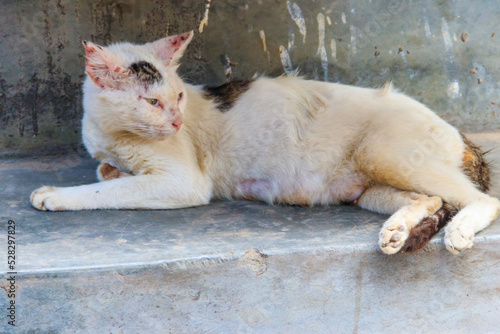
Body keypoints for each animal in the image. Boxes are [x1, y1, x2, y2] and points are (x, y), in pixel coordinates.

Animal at [32, 32, 500, 256]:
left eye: (177, 96)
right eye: (151, 102)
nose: (177, 121)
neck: (110, 133)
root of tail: (459, 134)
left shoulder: (183, 181)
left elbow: (104, 190)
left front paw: (54, 195)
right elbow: (106, 172)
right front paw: (111, 168)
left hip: (384, 152)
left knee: (482, 200)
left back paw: (457, 232)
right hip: (369, 188)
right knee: (432, 199)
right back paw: (396, 231)